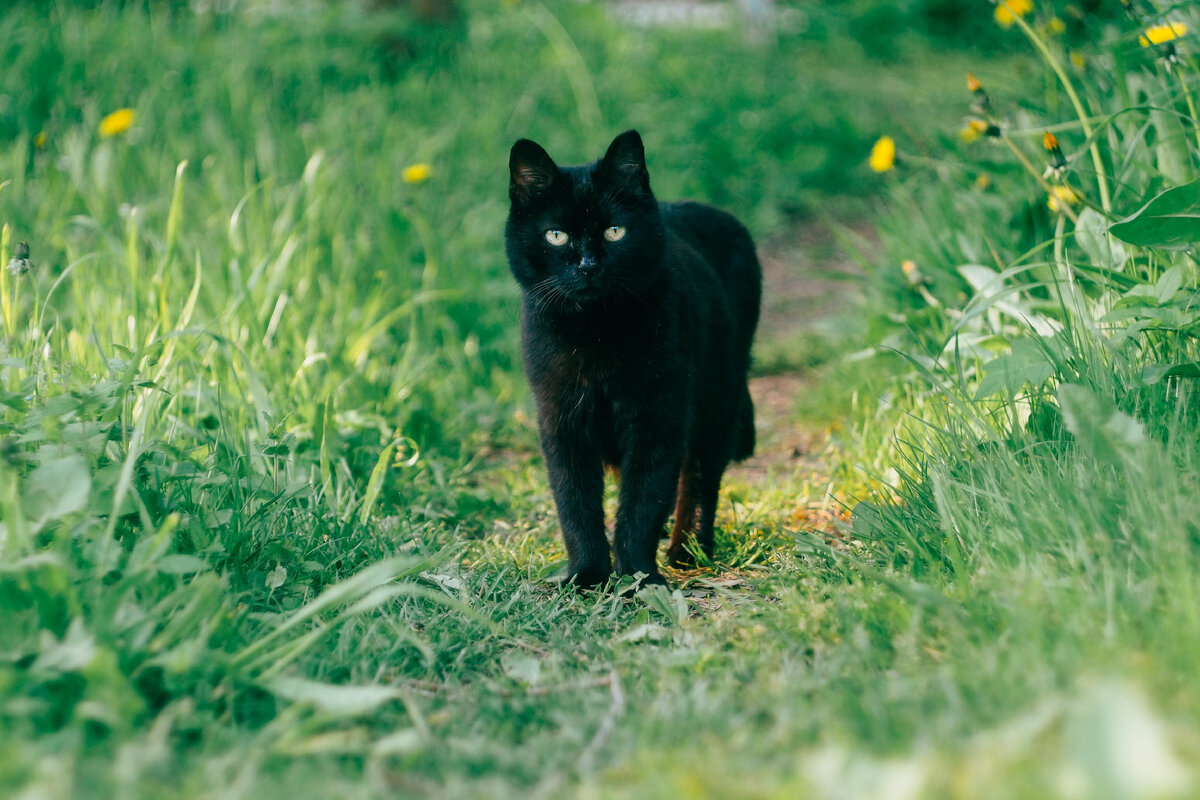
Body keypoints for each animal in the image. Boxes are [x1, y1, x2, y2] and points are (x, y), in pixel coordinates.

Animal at [506, 131, 758, 587]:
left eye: (614, 231)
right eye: (556, 236)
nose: (588, 266)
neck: (596, 334)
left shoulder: (657, 416)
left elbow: (643, 501)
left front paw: (638, 578)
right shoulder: (562, 420)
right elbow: (575, 503)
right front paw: (587, 575)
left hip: (719, 399)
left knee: (700, 477)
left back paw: (689, 551)